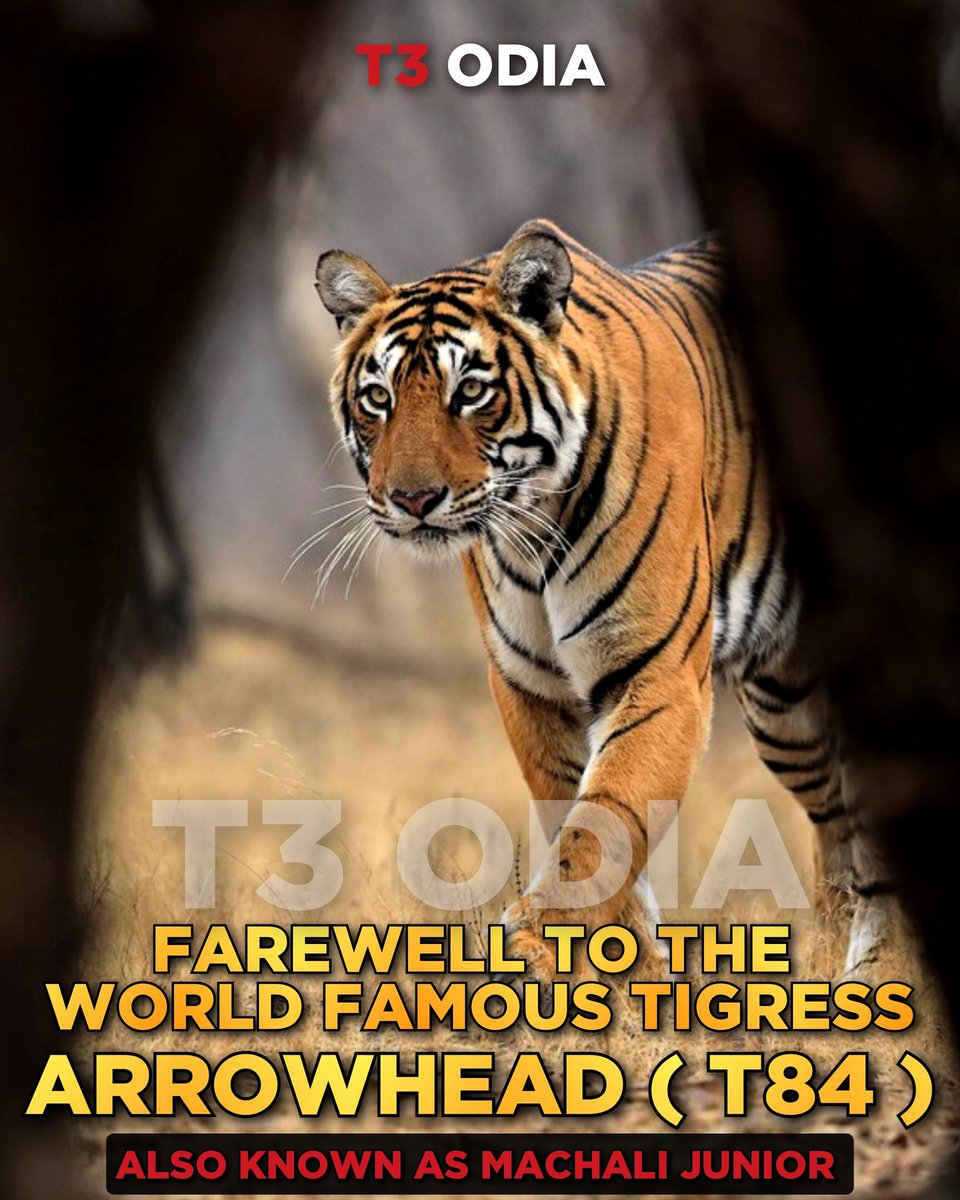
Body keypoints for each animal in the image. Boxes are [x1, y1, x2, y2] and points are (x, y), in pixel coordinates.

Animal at [314, 218, 892, 980]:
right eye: (377, 397)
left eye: (470, 391)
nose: (412, 499)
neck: (532, 532)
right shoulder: (531, 687)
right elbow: (580, 816)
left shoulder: (656, 674)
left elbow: (605, 820)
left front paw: (535, 947)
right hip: (785, 706)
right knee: (837, 822)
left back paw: (880, 971)